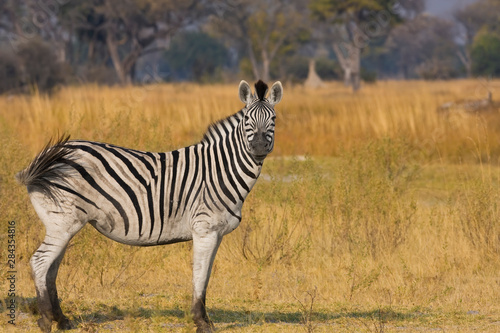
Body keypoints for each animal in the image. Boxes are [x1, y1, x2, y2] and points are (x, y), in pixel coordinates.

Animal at [15, 79, 284, 330]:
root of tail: (48, 157)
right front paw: (201, 321)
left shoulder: (216, 234)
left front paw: (204, 319)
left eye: (273, 118)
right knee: (40, 262)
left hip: (62, 224)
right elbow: (199, 275)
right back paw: (46, 320)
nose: (259, 148)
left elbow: (206, 275)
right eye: (247, 119)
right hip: (63, 222)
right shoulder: (204, 229)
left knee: (51, 268)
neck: (220, 170)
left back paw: (62, 320)